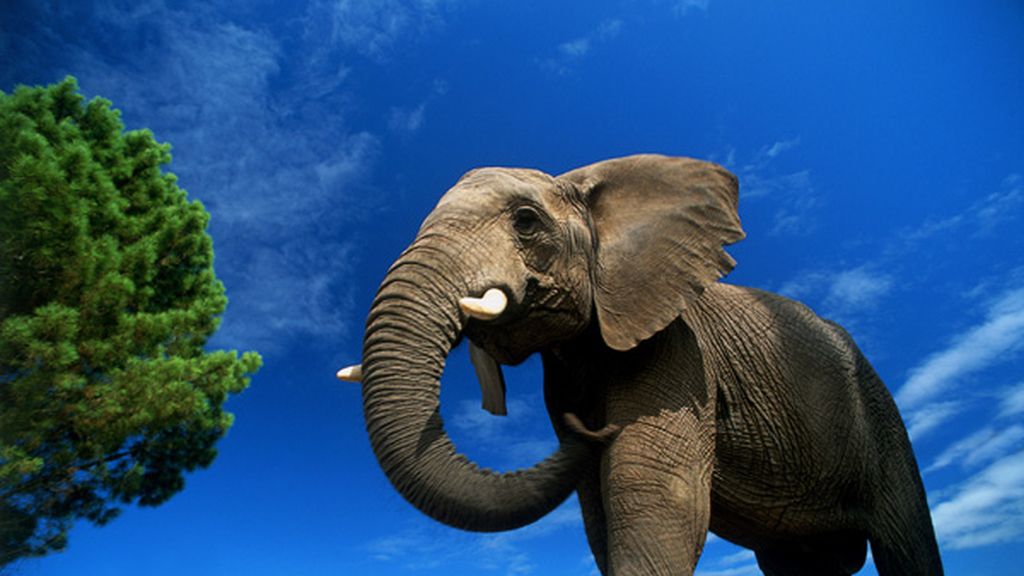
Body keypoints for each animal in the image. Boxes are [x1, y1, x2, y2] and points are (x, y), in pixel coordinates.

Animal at [339, 154, 943, 575]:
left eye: (527, 221)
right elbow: (599, 510)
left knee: (907, 546)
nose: (585, 429)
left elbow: (655, 499)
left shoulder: (680, 351)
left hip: (880, 414)